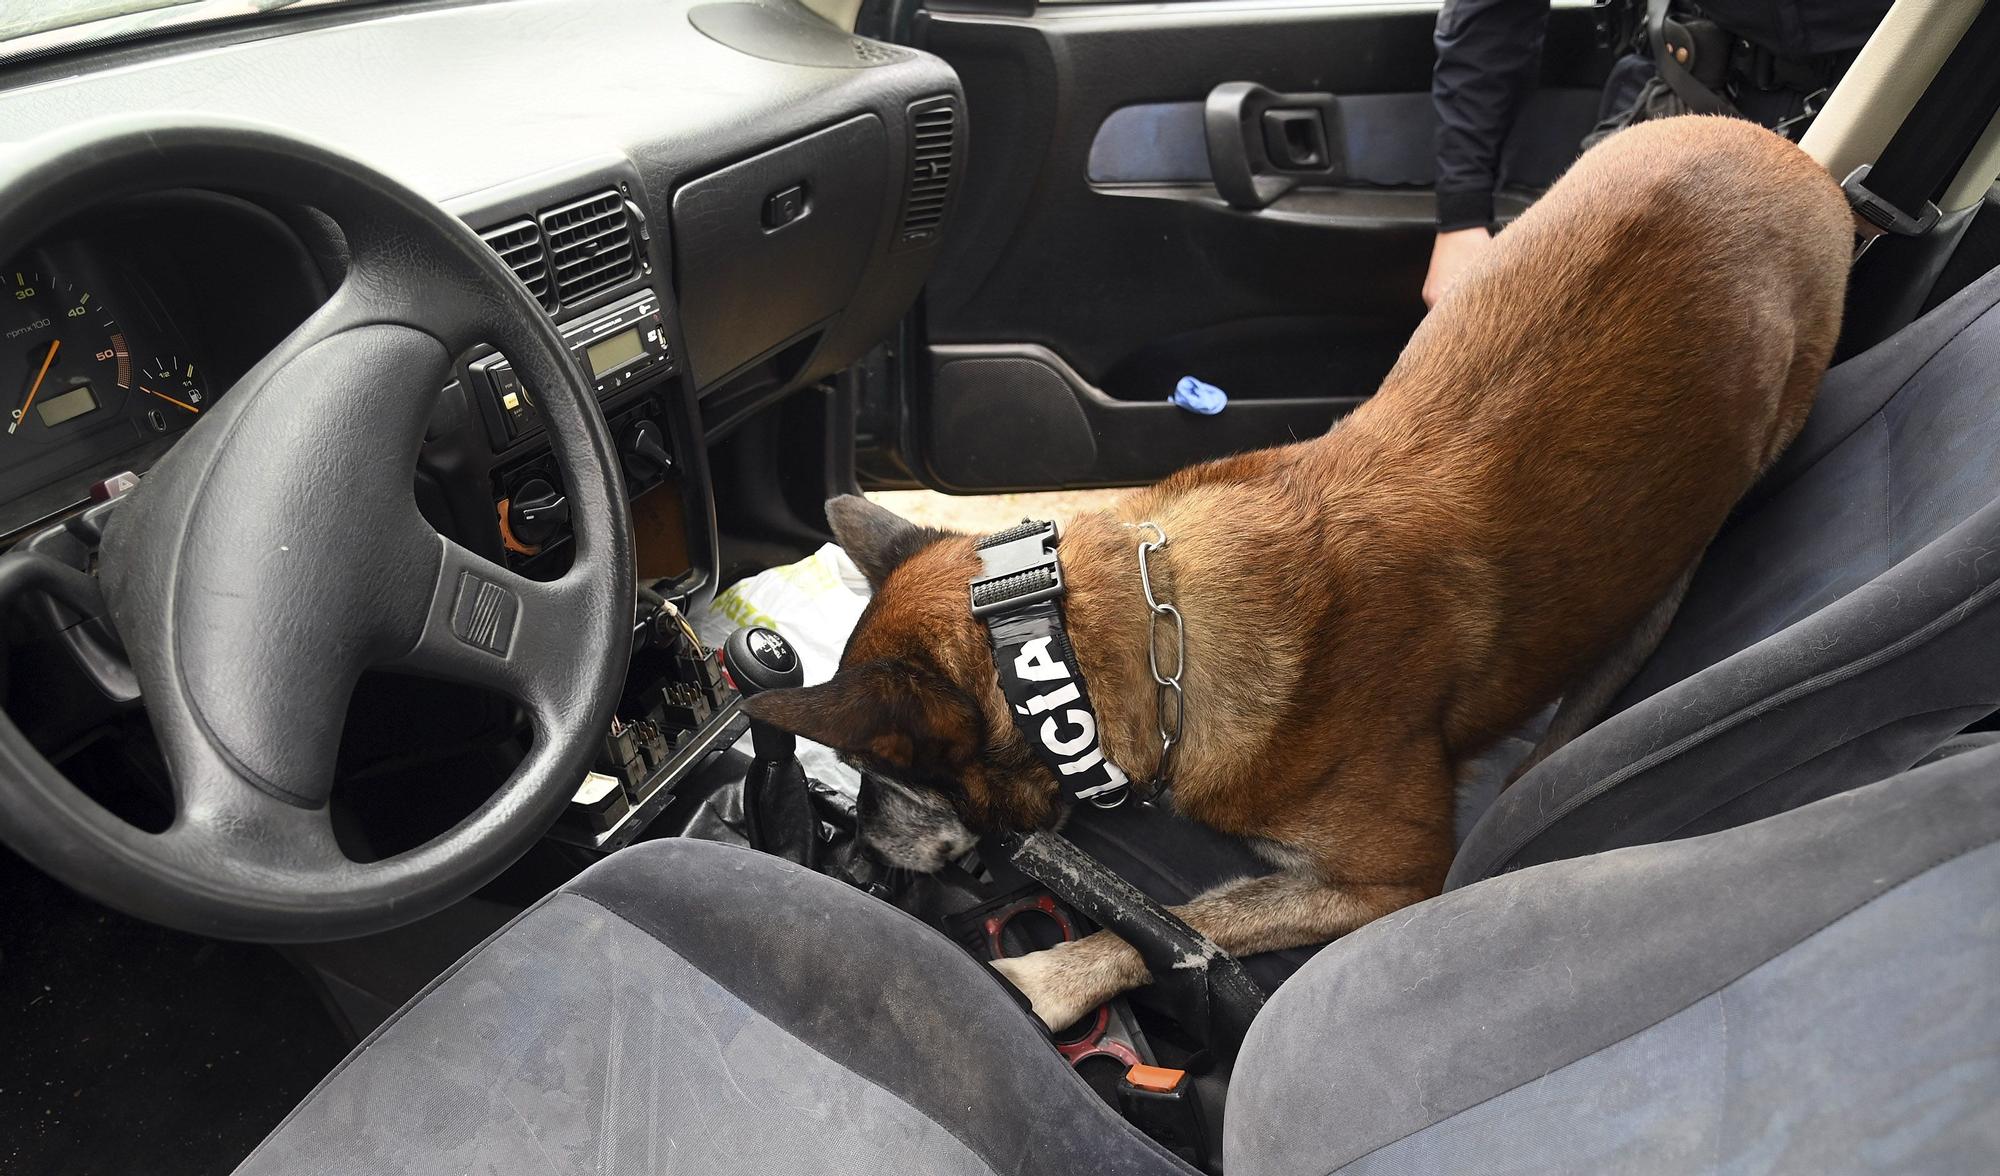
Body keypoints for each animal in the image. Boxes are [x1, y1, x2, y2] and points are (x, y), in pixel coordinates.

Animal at [744, 112, 1848, 1032]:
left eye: (890, 773)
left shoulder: (1387, 883)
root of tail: (1775, 146)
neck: (1143, 631)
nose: (847, 848)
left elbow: (1197, 920)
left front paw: (1052, 974)